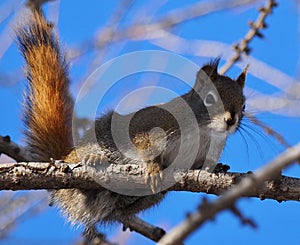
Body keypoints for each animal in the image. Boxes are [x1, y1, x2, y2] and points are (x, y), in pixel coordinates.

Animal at [15, 9, 247, 241]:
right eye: (209, 99)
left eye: (244, 105)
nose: (230, 120)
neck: (204, 132)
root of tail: (62, 157)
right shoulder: (152, 127)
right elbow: (145, 148)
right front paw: (153, 168)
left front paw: (218, 167)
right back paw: (94, 158)